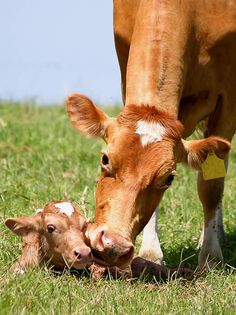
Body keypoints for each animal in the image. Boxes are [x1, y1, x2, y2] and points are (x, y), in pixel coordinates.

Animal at [66, 0, 236, 272]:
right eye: (105, 159)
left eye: (169, 178)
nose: (112, 245)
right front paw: (151, 252)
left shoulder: (228, 98)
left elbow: (211, 186)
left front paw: (211, 257)